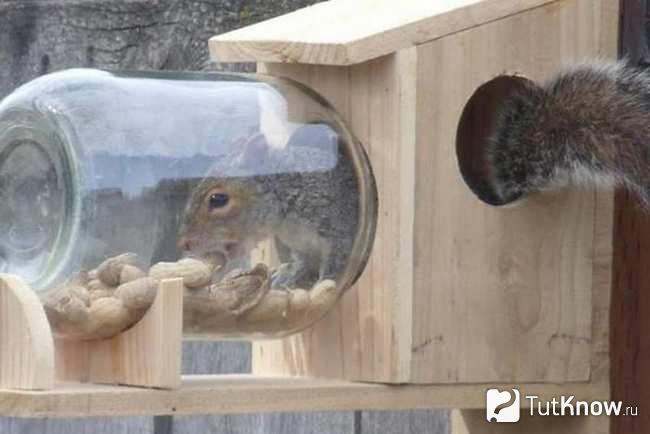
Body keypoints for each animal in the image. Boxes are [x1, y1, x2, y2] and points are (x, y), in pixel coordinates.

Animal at [177, 124, 362, 290]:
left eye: (218, 199)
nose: (184, 244)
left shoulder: (338, 230)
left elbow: (336, 262)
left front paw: (323, 284)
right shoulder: (300, 244)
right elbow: (303, 262)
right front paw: (289, 276)